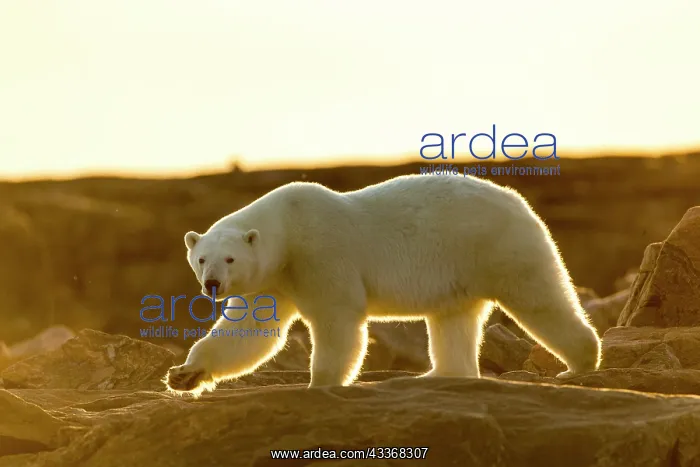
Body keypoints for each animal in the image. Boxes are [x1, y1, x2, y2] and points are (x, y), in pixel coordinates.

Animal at [165, 174, 601, 396]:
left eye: (230, 258)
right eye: (201, 258)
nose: (213, 284)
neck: (287, 230)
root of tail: (519, 200)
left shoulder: (320, 254)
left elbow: (338, 320)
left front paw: (320, 383)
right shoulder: (274, 279)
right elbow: (250, 332)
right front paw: (184, 374)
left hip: (498, 245)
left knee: (539, 297)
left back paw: (579, 363)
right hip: (461, 267)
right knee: (453, 320)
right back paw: (438, 374)